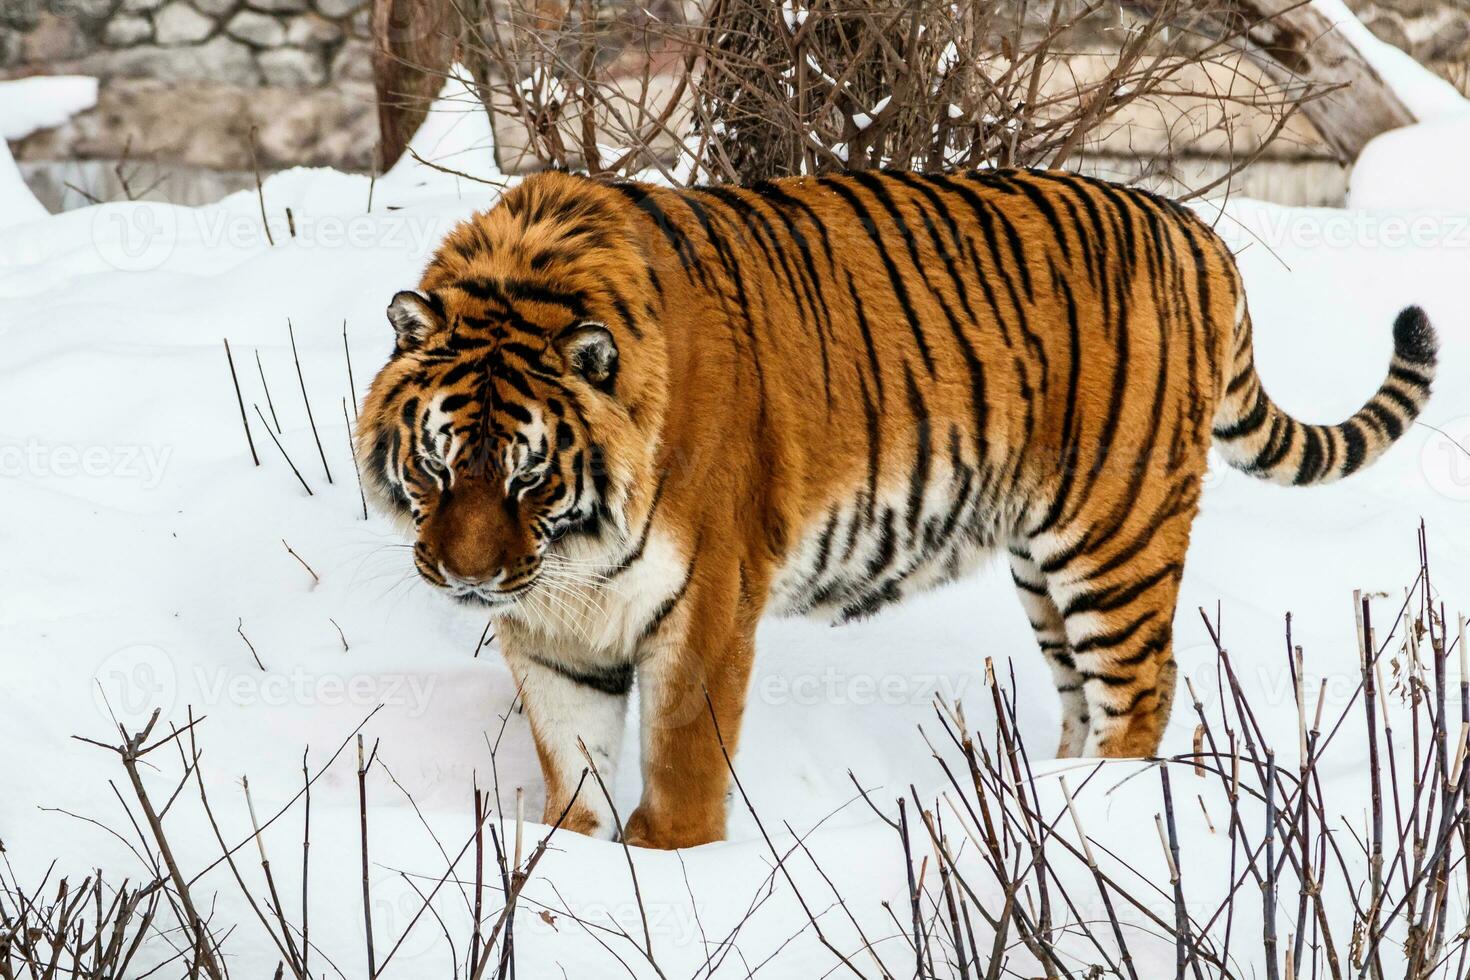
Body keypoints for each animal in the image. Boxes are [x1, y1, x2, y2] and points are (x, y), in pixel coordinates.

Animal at [355, 166, 1434, 852]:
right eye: (438, 465)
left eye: (530, 476)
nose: (467, 577)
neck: (573, 552)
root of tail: (1195, 230)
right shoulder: (553, 629)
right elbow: (569, 760)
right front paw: (572, 855)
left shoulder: (704, 601)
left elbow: (683, 764)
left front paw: (668, 866)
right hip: (1043, 563)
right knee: (1086, 694)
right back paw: (1046, 801)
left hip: (1114, 532)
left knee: (1144, 686)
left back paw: (1098, 813)